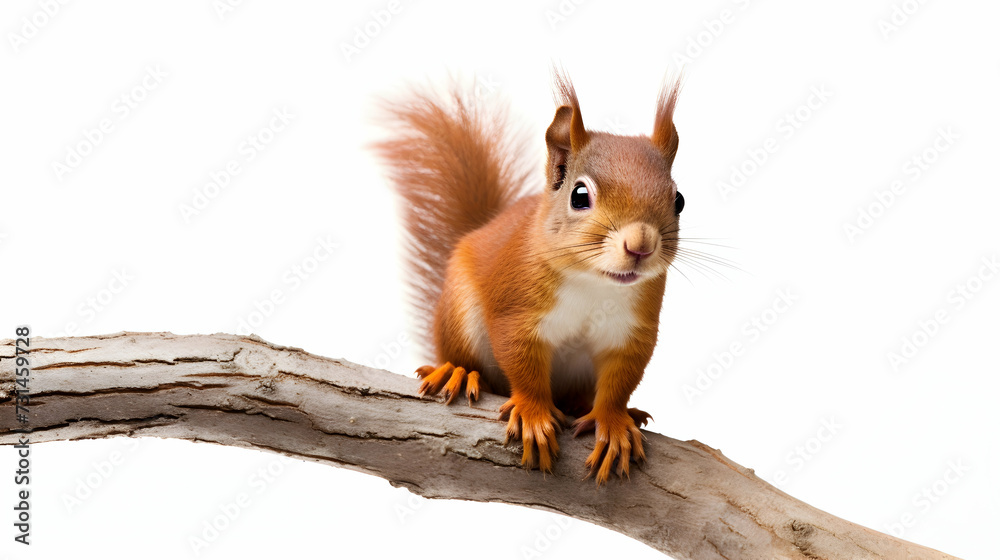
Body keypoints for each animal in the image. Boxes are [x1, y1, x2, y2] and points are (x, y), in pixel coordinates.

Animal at [374, 69, 683, 484]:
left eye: (679, 200)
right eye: (579, 195)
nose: (641, 245)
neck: (594, 283)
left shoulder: (632, 330)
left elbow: (620, 381)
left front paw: (615, 422)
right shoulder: (516, 310)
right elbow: (522, 363)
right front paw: (535, 415)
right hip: (459, 313)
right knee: (465, 359)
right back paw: (458, 372)